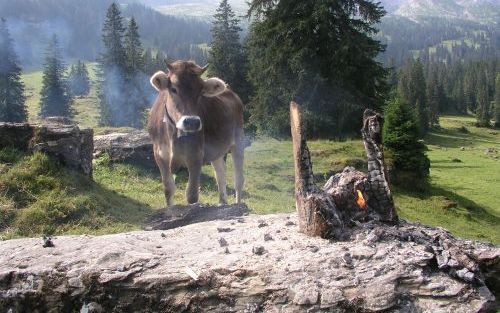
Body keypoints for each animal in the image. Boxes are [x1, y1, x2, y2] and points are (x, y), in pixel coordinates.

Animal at [146, 59, 244, 206]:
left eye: (201, 91)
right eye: (173, 89)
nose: (192, 121)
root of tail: (229, 90)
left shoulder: (196, 155)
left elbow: (192, 195)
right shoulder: (160, 155)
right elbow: (168, 189)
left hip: (238, 142)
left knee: (238, 179)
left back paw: (237, 204)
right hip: (216, 150)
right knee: (220, 173)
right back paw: (222, 202)